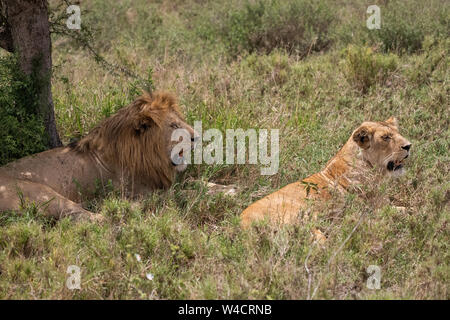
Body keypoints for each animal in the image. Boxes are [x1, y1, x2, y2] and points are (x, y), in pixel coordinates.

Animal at [0, 91, 197, 221]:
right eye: (173, 125)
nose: (197, 136)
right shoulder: (138, 188)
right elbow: (179, 193)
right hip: (42, 194)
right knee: (93, 218)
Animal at [241, 117, 414, 230]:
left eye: (397, 133)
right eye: (386, 137)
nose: (408, 146)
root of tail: (242, 221)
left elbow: (406, 209)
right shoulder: (371, 210)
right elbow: (404, 212)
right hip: (298, 216)